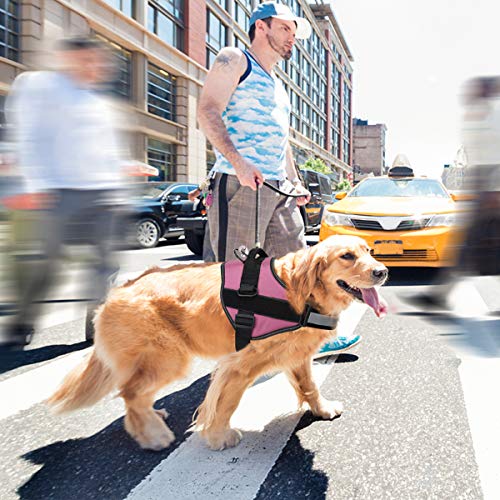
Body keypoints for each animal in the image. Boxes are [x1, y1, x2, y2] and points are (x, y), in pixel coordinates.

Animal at [47, 236, 386, 452]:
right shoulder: (240, 364)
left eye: (369, 250)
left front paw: (322, 409)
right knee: (130, 393)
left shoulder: (296, 356)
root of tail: (114, 293)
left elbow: (309, 386)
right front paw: (219, 436)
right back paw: (153, 435)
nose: (382, 271)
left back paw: (151, 419)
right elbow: (226, 402)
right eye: (347, 256)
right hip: (169, 357)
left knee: (136, 394)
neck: (298, 294)